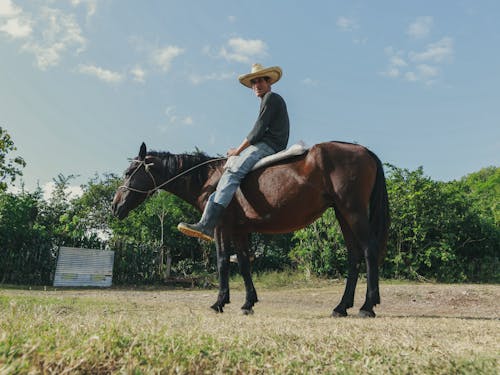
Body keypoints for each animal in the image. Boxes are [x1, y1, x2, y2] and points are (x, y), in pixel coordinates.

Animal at [112, 142, 390, 318]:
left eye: (128, 172)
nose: (115, 205)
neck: (210, 179)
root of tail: (363, 150)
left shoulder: (221, 227)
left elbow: (223, 262)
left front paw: (219, 302)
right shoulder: (240, 230)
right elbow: (244, 263)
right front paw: (248, 303)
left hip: (352, 211)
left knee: (369, 251)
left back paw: (367, 306)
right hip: (342, 214)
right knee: (354, 256)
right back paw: (341, 307)